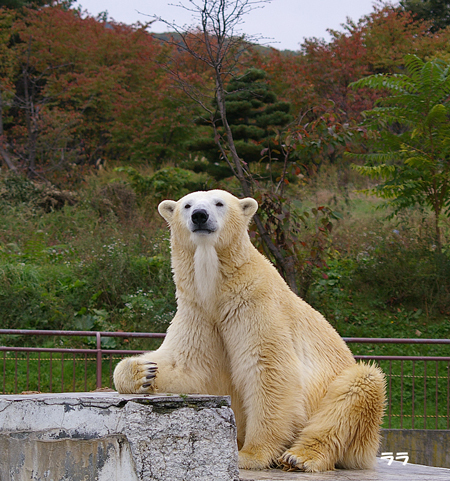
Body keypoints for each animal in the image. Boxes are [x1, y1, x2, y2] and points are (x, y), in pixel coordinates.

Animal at [114, 189, 384, 470]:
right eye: (187, 205)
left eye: (219, 203)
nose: (200, 215)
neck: (218, 290)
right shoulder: (199, 313)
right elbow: (187, 364)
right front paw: (144, 371)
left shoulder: (254, 303)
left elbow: (269, 369)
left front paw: (251, 454)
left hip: (352, 408)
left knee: (358, 386)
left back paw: (299, 456)